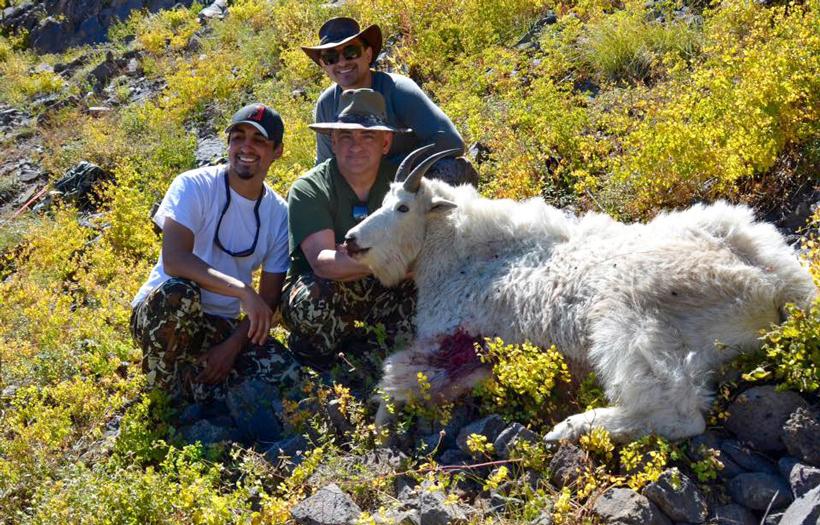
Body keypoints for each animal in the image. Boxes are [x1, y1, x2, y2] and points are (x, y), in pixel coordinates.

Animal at [344, 146, 817, 442]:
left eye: (402, 207)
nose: (351, 241)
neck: (458, 253)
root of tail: (770, 288)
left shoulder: (453, 337)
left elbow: (396, 378)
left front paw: (380, 430)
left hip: (630, 321)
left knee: (678, 413)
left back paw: (568, 428)